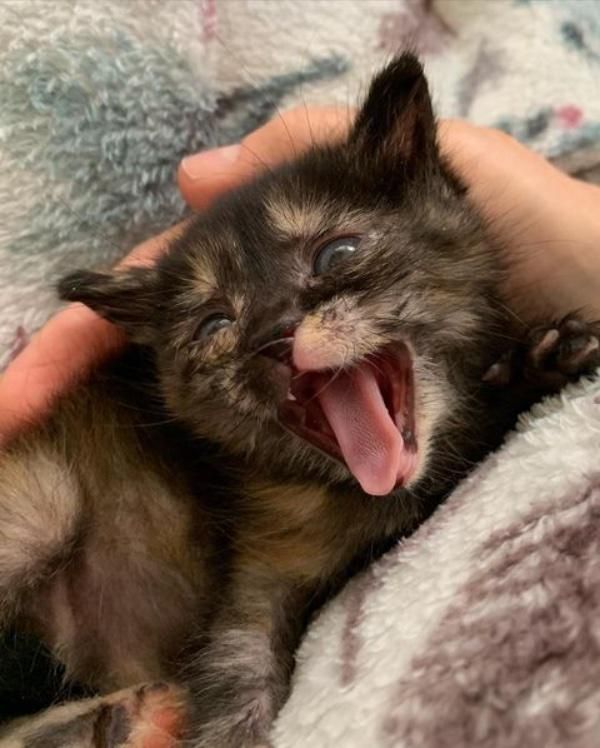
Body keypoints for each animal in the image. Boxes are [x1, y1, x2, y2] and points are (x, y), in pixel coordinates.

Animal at [1, 54, 600, 748]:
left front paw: (541, 364)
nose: (272, 336)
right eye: (214, 325)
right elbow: (238, 684)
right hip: (39, 508)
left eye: (336, 253)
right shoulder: (255, 583)